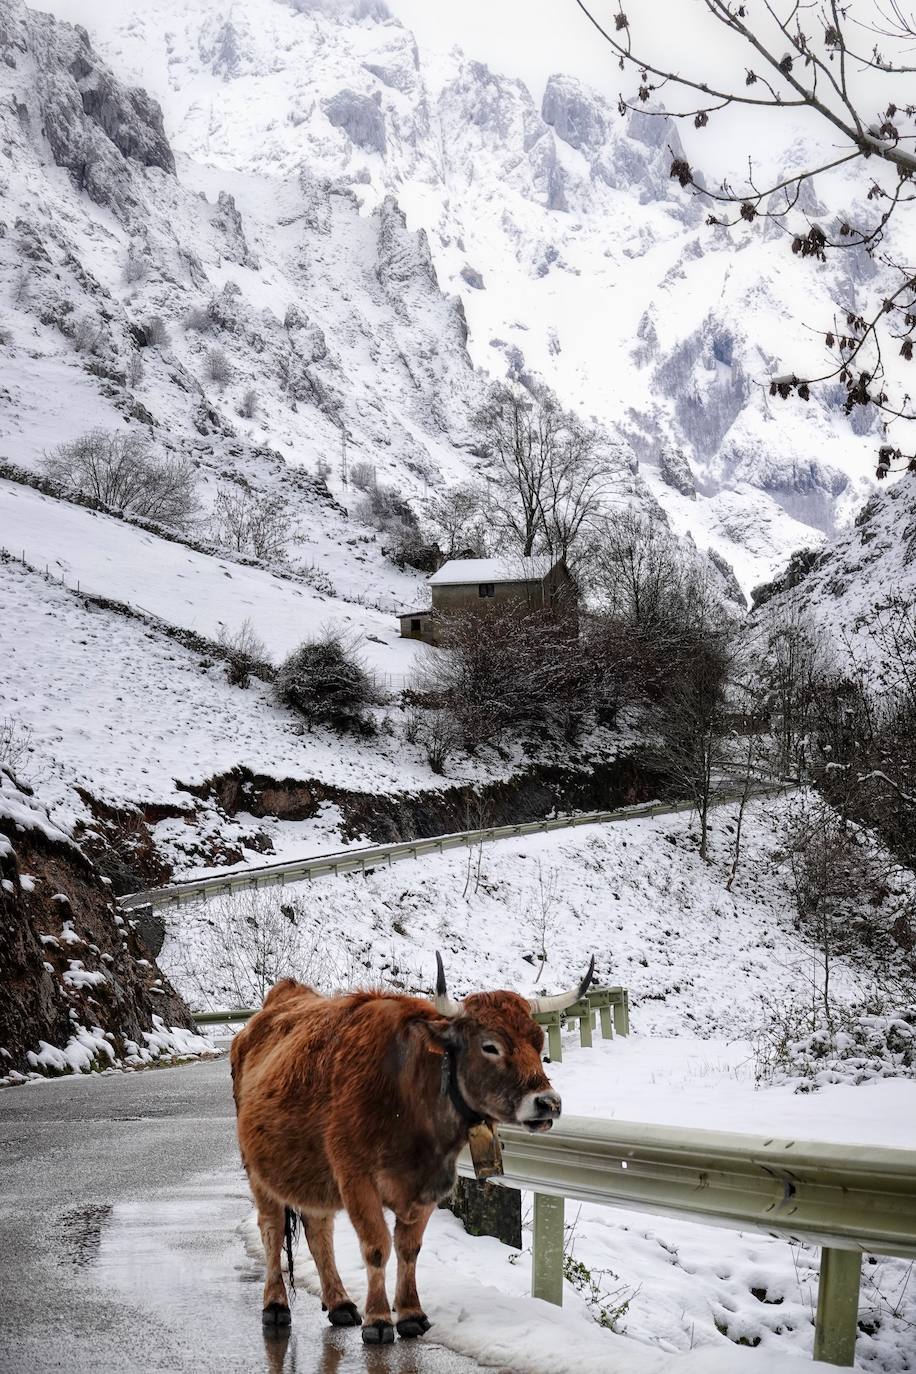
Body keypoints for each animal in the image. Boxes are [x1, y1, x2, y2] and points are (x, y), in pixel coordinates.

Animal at [230, 956, 596, 1341]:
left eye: (539, 1042)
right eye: (490, 1046)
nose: (548, 1103)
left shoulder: (430, 1185)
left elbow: (409, 1248)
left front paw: (409, 1312)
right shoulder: (356, 1179)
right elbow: (377, 1247)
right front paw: (378, 1319)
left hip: (312, 1175)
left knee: (319, 1231)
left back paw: (340, 1302)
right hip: (259, 1173)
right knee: (271, 1230)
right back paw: (275, 1305)